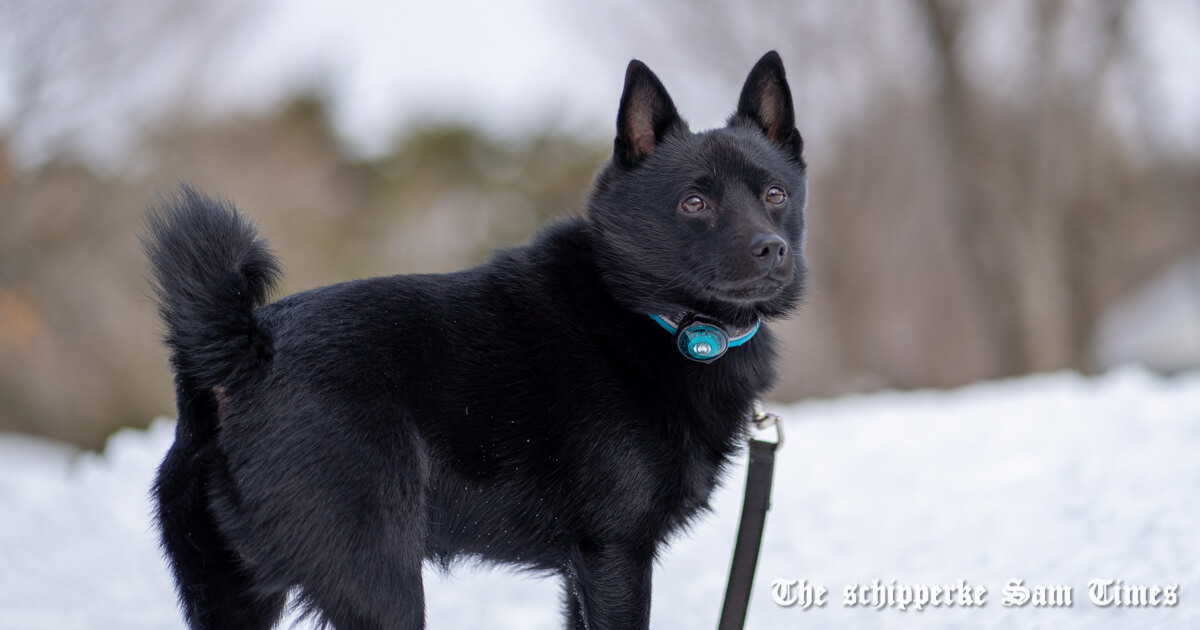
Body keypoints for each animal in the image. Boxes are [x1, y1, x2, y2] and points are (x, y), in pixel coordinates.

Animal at [145, 51, 811, 624]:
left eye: (775, 194)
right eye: (694, 202)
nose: (772, 250)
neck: (656, 318)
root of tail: (248, 351)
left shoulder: (582, 569)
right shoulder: (615, 554)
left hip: (232, 593)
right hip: (380, 583)